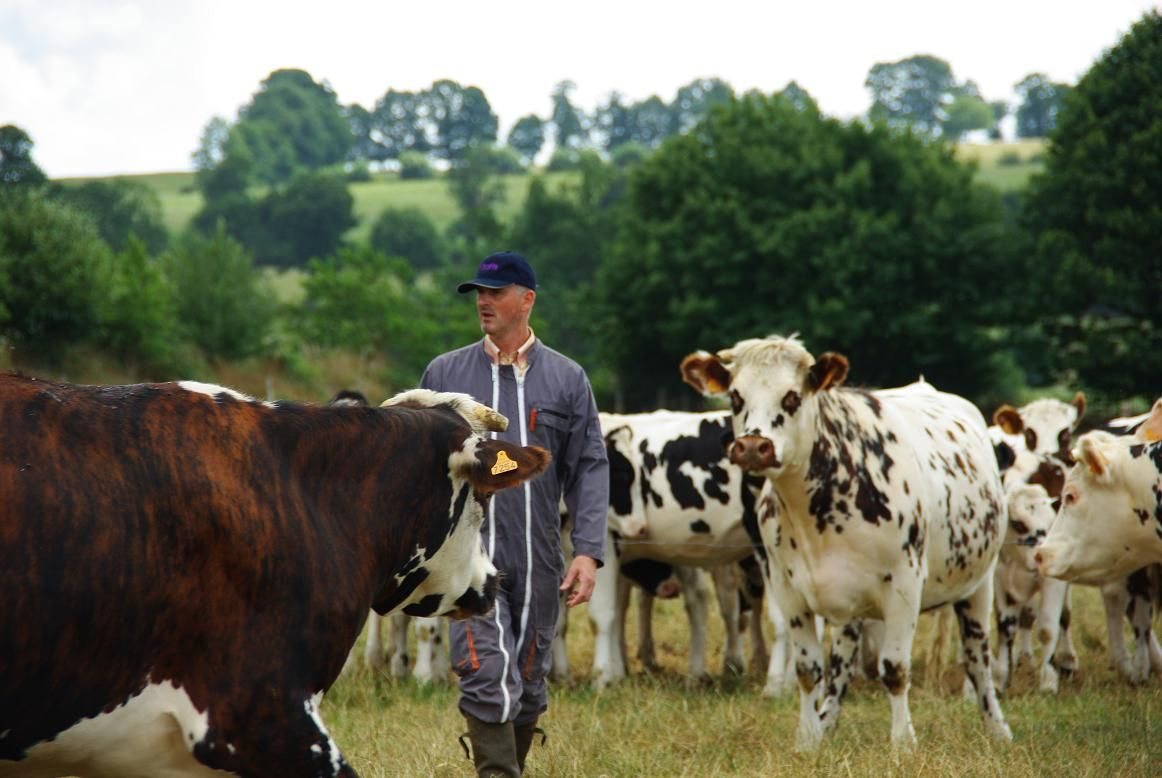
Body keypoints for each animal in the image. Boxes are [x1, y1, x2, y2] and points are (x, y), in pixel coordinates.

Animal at [681, 335, 1011, 750]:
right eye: (736, 397)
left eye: (792, 396)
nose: (754, 447)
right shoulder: (788, 589)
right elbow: (809, 670)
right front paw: (808, 739)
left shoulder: (905, 585)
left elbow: (895, 669)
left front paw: (903, 743)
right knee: (841, 662)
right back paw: (827, 722)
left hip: (979, 584)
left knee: (978, 658)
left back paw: (997, 728)